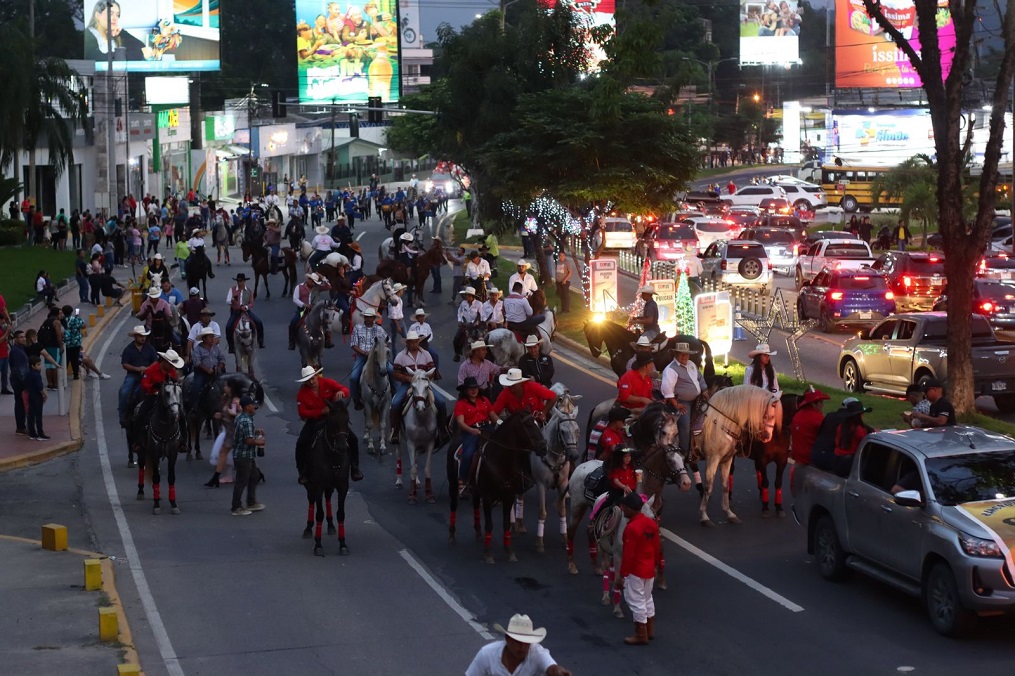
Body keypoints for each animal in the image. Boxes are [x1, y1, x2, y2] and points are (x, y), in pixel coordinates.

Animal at [132, 379, 186, 515]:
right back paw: (141, 491)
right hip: (142, 451)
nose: (176, 415)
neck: (165, 428)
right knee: (141, 466)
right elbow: (156, 477)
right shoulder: (154, 453)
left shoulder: (173, 454)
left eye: (180, 393)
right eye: (167, 393)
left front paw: (173, 504)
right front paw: (156, 505)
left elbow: (171, 478)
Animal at [302, 397, 351, 556]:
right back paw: (308, 528)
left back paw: (330, 525)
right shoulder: (318, 485)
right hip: (310, 485)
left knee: (328, 498)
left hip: (329, 485)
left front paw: (343, 544)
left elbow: (341, 513)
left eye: (347, 420)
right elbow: (319, 514)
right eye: (331, 421)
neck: (332, 457)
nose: (342, 447)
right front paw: (318, 545)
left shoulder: (343, 486)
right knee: (311, 500)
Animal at [395, 365, 440, 503]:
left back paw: (418, 482)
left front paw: (429, 494)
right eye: (413, 386)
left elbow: (426, 468)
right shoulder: (410, 443)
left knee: (415, 459)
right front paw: (412, 495)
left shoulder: (430, 443)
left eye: (427, 386)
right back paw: (399, 481)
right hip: (399, 438)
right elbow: (413, 469)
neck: (421, 418)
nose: (420, 407)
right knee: (399, 454)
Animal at [450, 410, 552, 564]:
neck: (501, 460)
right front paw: (488, 554)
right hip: (453, 484)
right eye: (528, 425)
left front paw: (509, 551)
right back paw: (452, 535)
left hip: (476, 490)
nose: (543, 448)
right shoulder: (487, 497)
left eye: (537, 424)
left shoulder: (508, 497)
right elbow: (489, 524)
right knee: (454, 505)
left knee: (475, 505)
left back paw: (478, 532)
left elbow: (506, 524)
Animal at [694, 381, 779, 523]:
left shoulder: (727, 459)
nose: (768, 437)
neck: (722, 422)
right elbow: (709, 486)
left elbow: (725, 485)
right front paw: (704, 515)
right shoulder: (713, 458)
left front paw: (729, 513)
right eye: (768, 415)